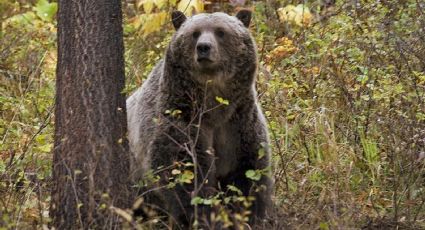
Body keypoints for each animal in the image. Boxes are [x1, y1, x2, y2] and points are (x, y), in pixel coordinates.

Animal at [126, 9, 272, 228]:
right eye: (194, 33)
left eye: (220, 31)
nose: (204, 47)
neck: (214, 105)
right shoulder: (180, 119)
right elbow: (185, 174)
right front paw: (201, 216)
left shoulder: (239, 124)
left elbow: (249, 174)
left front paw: (249, 217)